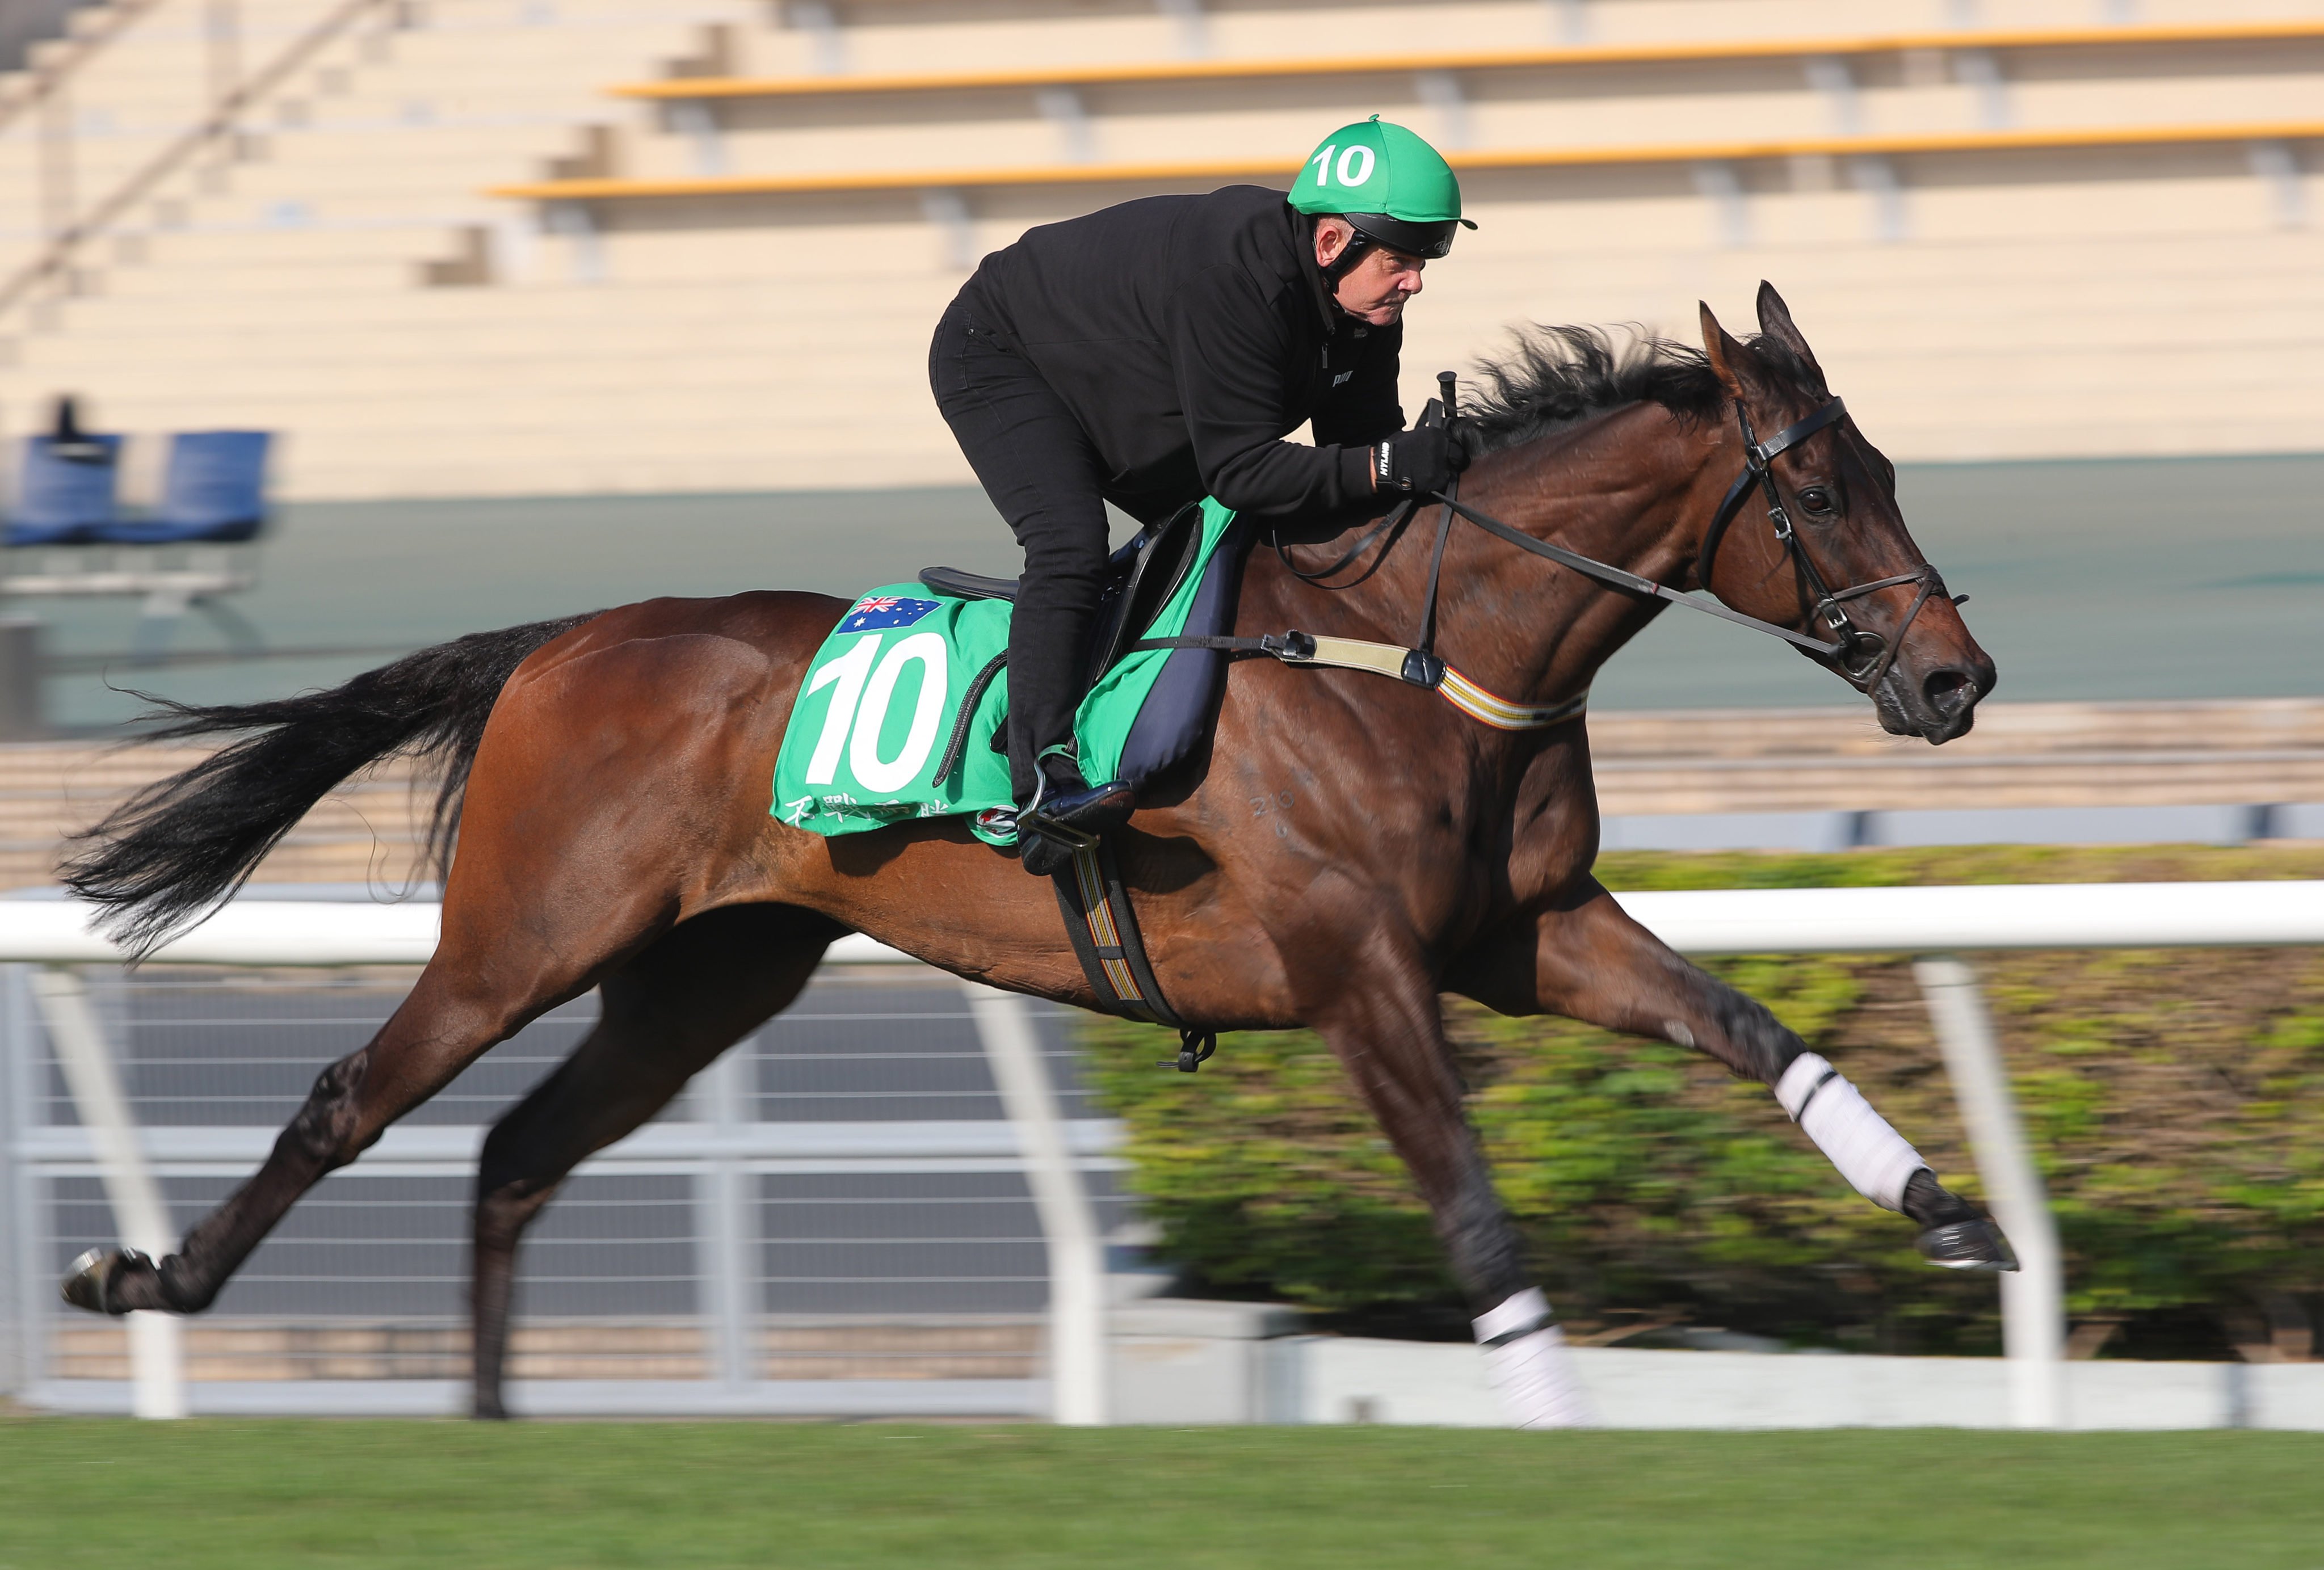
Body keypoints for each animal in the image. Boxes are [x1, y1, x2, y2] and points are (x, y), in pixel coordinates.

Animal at [64, 285, 2008, 1421]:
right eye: (1813, 492)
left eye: (1887, 466)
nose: (1953, 677)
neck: (1421, 655)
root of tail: (564, 637)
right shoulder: (1360, 970)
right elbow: (1466, 1193)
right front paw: (1544, 1410)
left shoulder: (1520, 931)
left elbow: (1751, 1031)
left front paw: (1948, 1208)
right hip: (522, 935)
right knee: (354, 1098)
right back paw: (148, 1276)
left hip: (703, 973)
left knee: (516, 1154)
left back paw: (488, 1427)